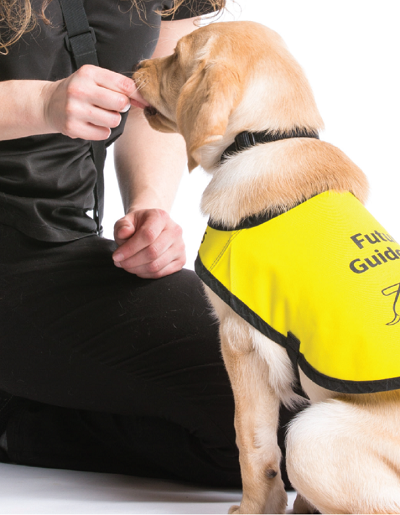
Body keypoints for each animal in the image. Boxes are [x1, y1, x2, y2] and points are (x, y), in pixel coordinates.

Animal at [133, 21, 400, 515]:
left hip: (313, 435)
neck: (264, 139)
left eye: (176, 56)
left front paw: (256, 508)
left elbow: (252, 441)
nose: (137, 64)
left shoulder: (240, 339)